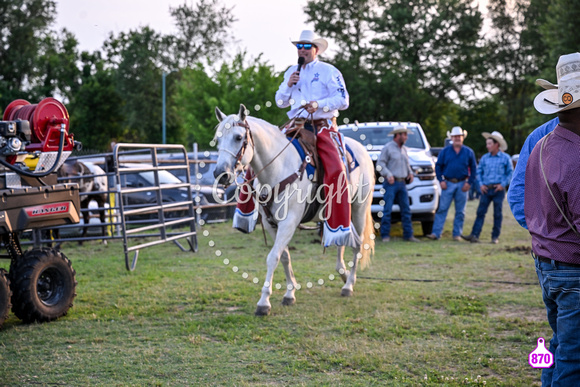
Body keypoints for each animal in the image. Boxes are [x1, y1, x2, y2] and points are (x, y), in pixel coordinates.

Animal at [213, 104, 376, 316]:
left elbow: (272, 257)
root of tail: (363, 150)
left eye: (239, 137)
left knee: (358, 244)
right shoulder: (271, 223)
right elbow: (284, 256)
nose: (220, 174)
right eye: (218, 139)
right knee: (344, 239)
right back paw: (343, 273)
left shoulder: (289, 221)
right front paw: (290, 293)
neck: (278, 168)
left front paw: (264, 302)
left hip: (359, 208)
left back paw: (348, 285)